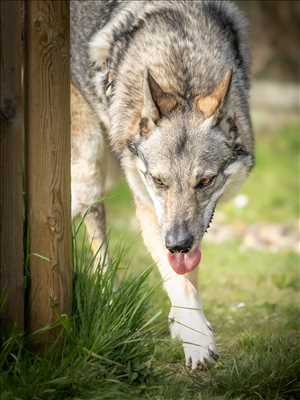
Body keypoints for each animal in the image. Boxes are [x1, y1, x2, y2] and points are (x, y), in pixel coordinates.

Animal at [70, 0, 253, 368]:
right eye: (159, 181)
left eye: (205, 181)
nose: (178, 244)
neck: (181, 66)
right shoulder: (149, 209)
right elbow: (177, 279)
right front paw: (196, 340)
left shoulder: (192, 227)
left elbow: (188, 274)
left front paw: (184, 324)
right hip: (88, 173)